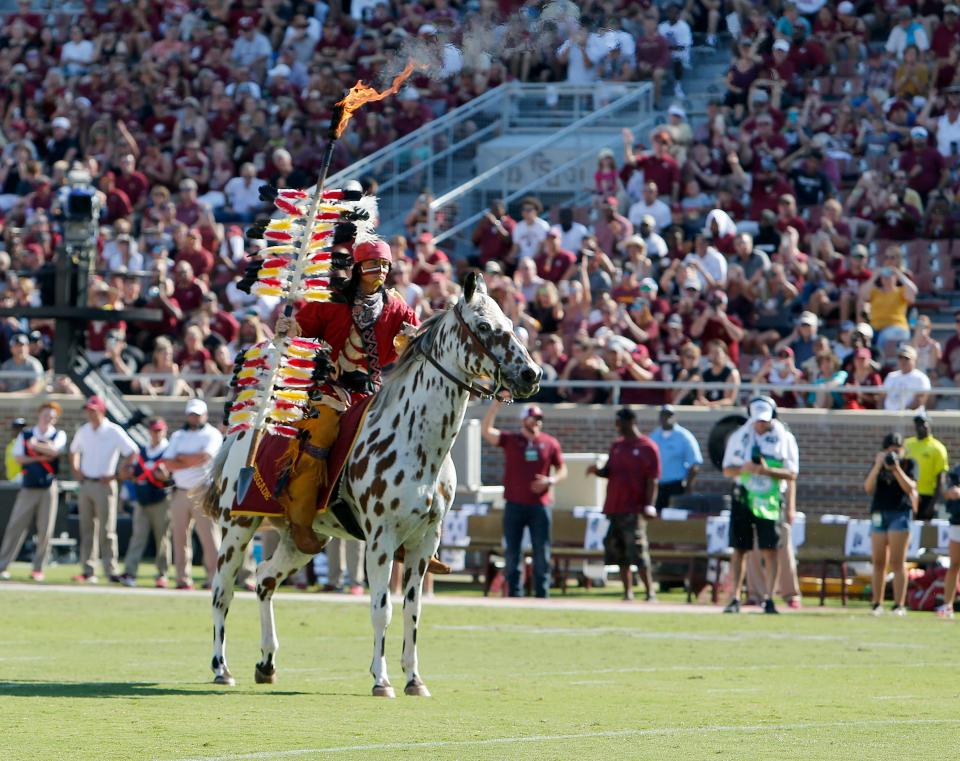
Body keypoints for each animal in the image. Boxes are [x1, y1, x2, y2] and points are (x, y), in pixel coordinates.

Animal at [203, 274, 544, 696]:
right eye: (483, 326)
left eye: (511, 324)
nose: (532, 374)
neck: (417, 439)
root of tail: (242, 432)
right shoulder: (382, 538)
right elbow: (382, 608)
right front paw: (381, 679)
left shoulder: (424, 542)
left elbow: (413, 612)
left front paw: (414, 679)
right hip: (238, 526)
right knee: (222, 591)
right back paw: (221, 667)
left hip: (302, 537)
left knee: (265, 580)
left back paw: (266, 662)